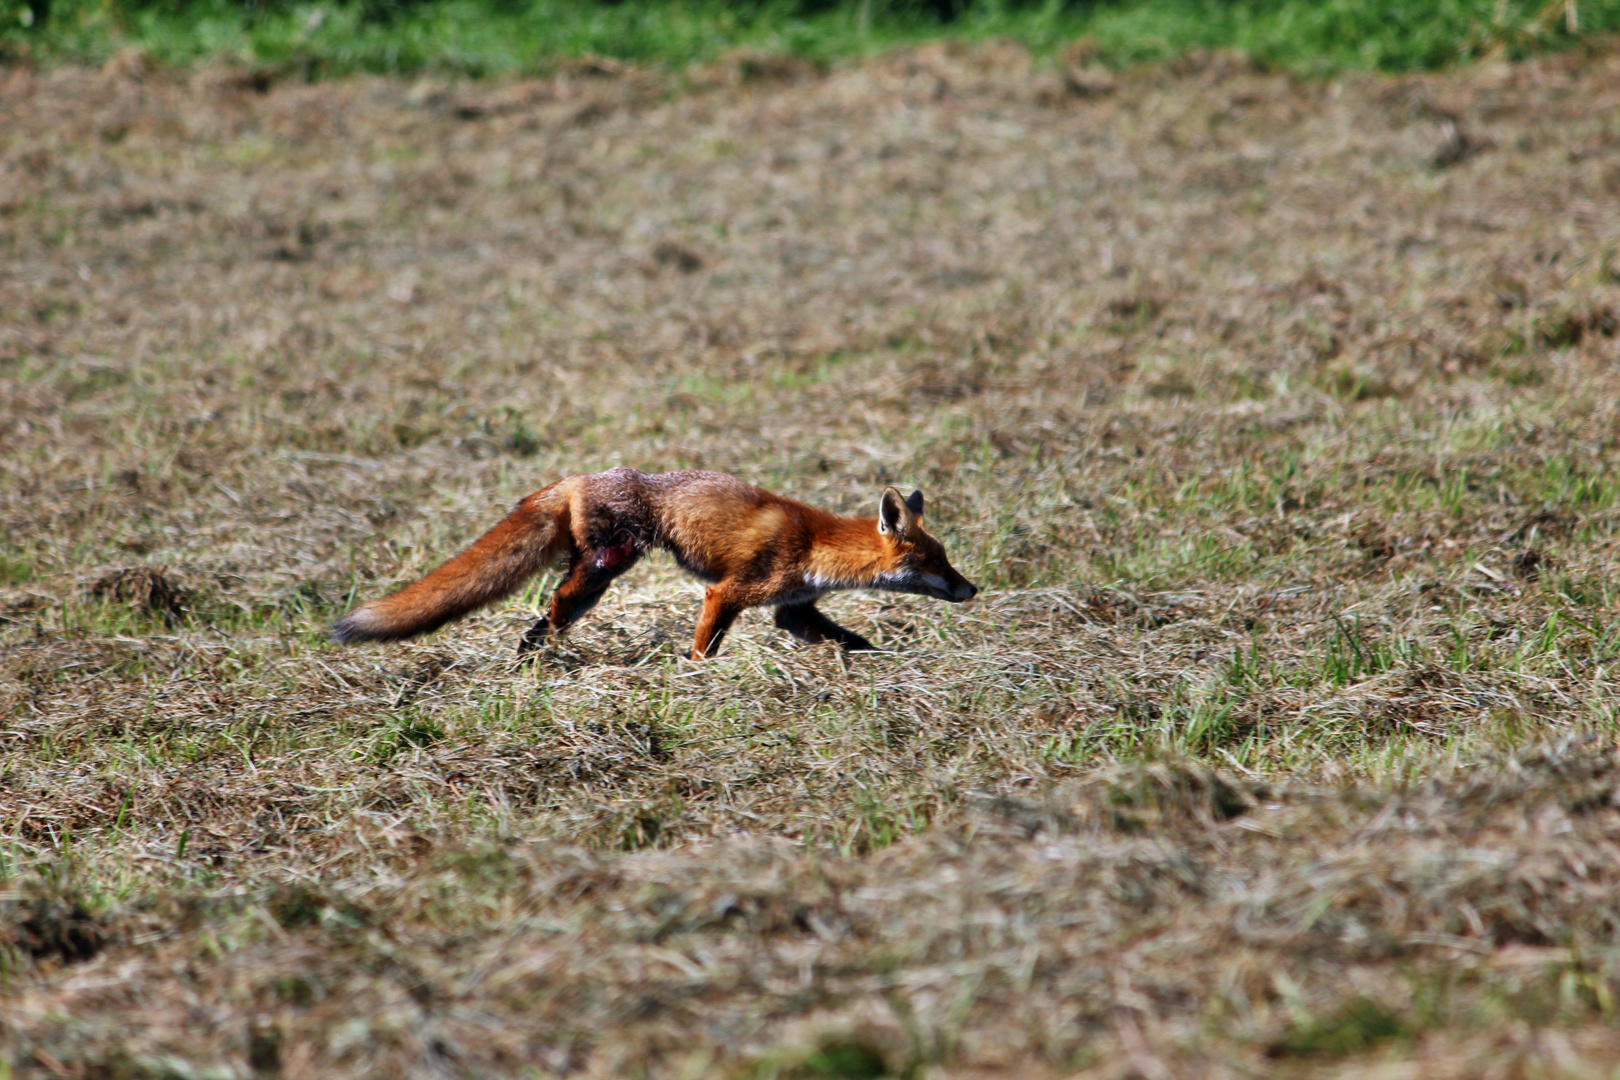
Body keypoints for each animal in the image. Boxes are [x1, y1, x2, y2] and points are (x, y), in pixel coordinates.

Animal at [328, 469, 972, 663]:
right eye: (937, 561)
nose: (972, 589)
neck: (816, 544)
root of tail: (578, 476)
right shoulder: (728, 593)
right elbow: (704, 646)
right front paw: (699, 680)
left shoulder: (791, 610)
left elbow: (852, 639)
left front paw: (882, 666)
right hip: (606, 566)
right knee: (553, 607)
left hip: (597, 575)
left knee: (542, 619)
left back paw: (527, 663)